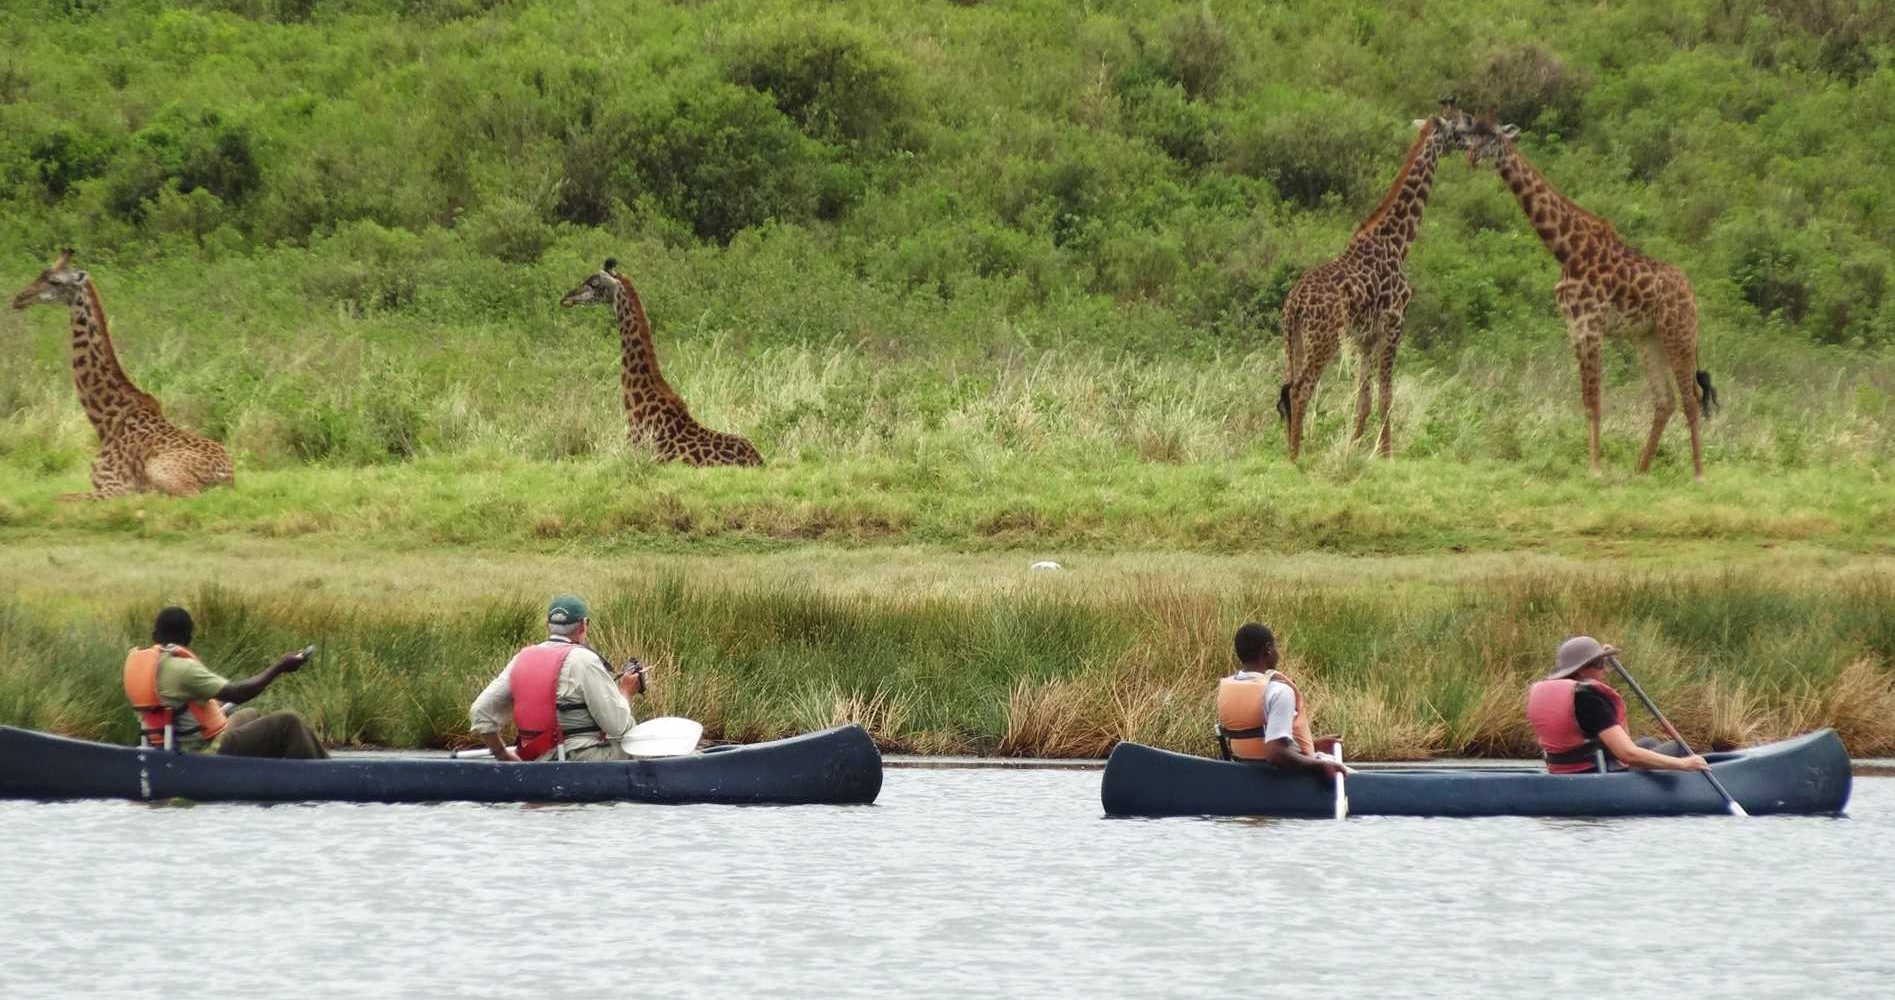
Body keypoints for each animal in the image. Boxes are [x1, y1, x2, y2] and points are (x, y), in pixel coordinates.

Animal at [9, 250, 234, 500]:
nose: (19, 298)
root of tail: (229, 476)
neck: (105, 423)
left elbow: (57, 499)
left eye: (55, 281)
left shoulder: (115, 487)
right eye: (41, 274)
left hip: (163, 471)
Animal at [1281, 101, 1470, 460]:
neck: (1397, 242)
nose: (1470, 144)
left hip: (1294, 337)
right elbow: (1386, 395)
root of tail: (1295, 303)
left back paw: (1289, 449)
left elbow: (1363, 398)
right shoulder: (1394, 323)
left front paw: (1354, 448)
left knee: (1286, 388)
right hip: (1324, 338)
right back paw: (1295, 457)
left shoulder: (1363, 337)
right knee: (1300, 389)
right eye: (1462, 126)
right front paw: (1385, 453)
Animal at [1455, 116, 1728, 477]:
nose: (1471, 157)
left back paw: (1698, 474)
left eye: (1495, 139)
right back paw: (1640, 471)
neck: (1566, 249)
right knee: (1664, 399)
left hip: (1678, 332)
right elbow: (1586, 400)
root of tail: (1692, 296)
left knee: (1691, 398)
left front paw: (1595, 469)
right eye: (1473, 135)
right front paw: (1596, 465)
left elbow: (1594, 401)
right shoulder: (1574, 326)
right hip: (1648, 337)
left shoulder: (1590, 324)